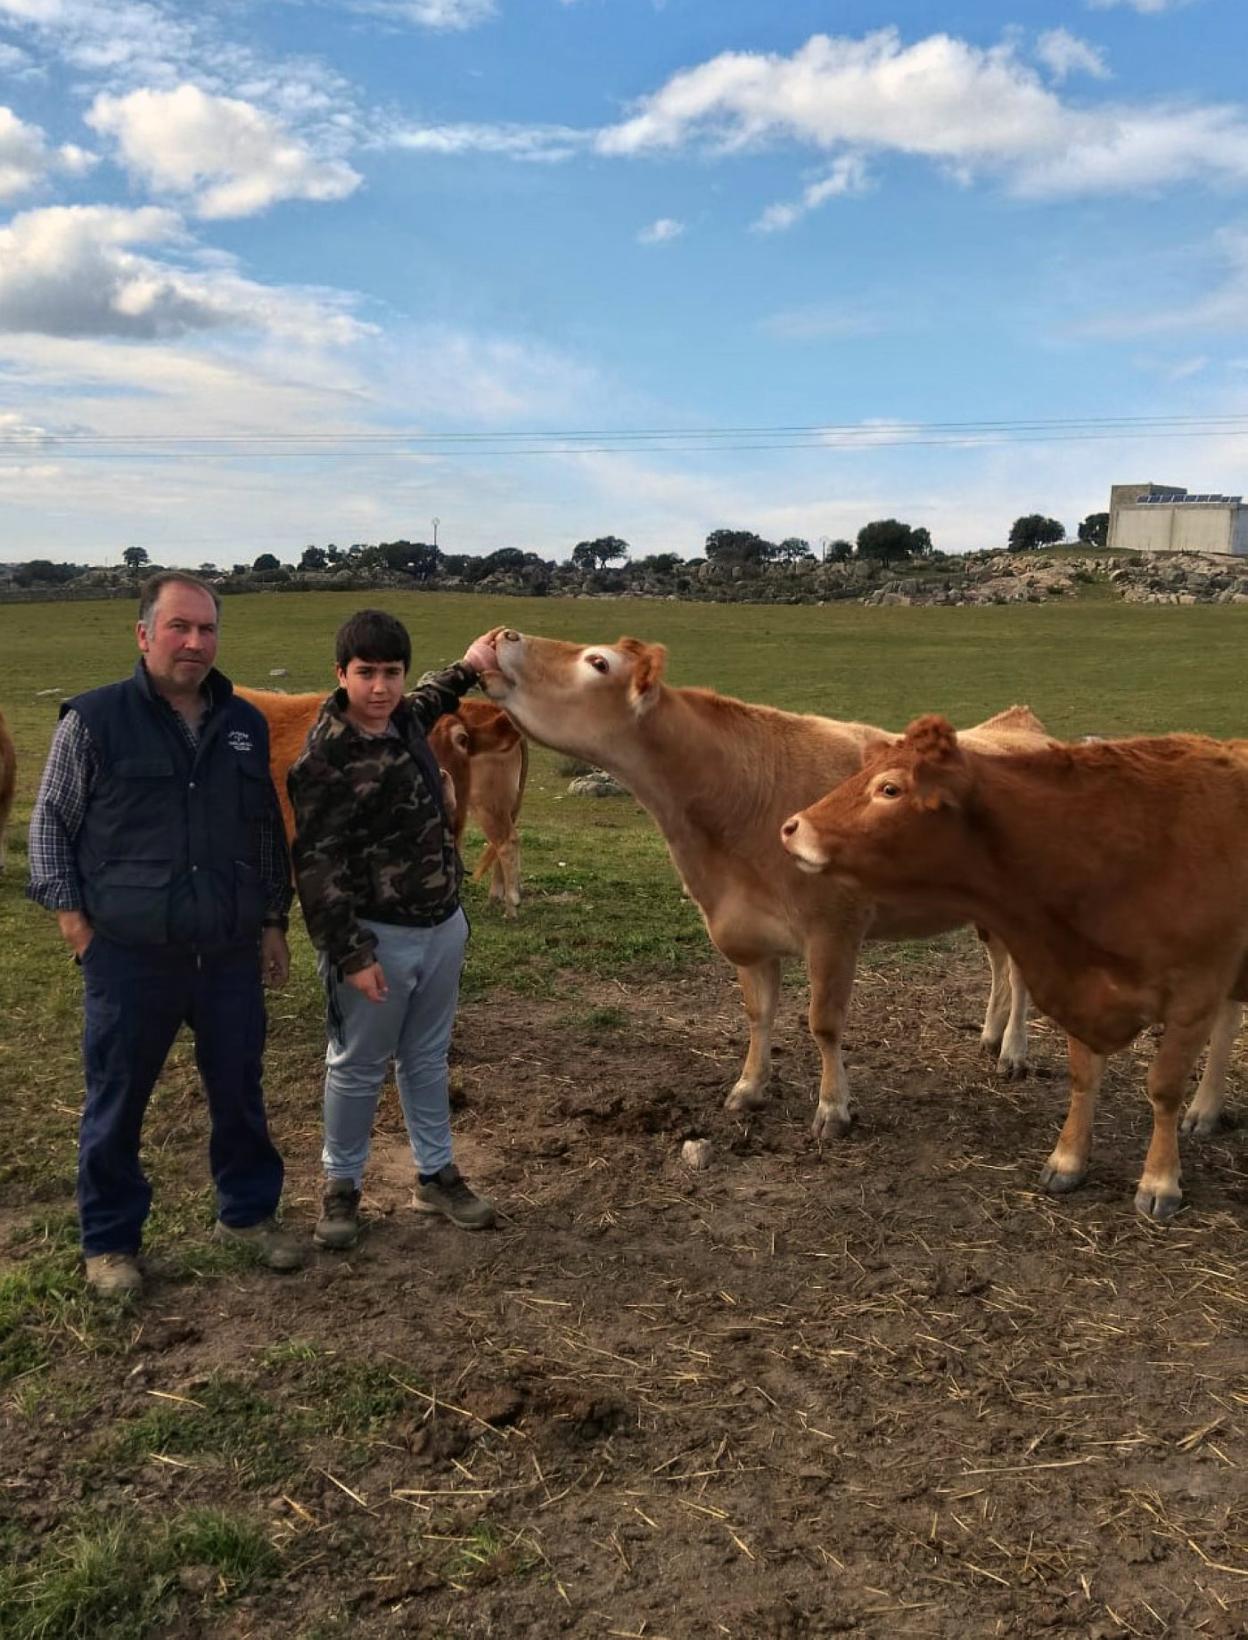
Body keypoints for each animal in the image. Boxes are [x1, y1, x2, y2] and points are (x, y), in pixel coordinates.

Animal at [482, 626, 1049, 1141]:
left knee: (1021, 974)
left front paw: (833, 1109)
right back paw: (991, 1035)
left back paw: (1014, 1052)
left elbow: (824, 1023)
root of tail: (1020, 722)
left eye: (598, 662)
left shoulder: (833, 929)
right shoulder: (745, 932)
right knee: (1000, 961)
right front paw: (750, 1087)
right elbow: (758, 1014)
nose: (499, 635)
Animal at [780, 718, 1246, 1220]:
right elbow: (1084, 1077)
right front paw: (1068, 1158)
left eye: (890, 788)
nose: (791, 827)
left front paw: (1160, 1180)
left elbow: (1164, 1088)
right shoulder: (1081, 981)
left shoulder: (1194, 997)